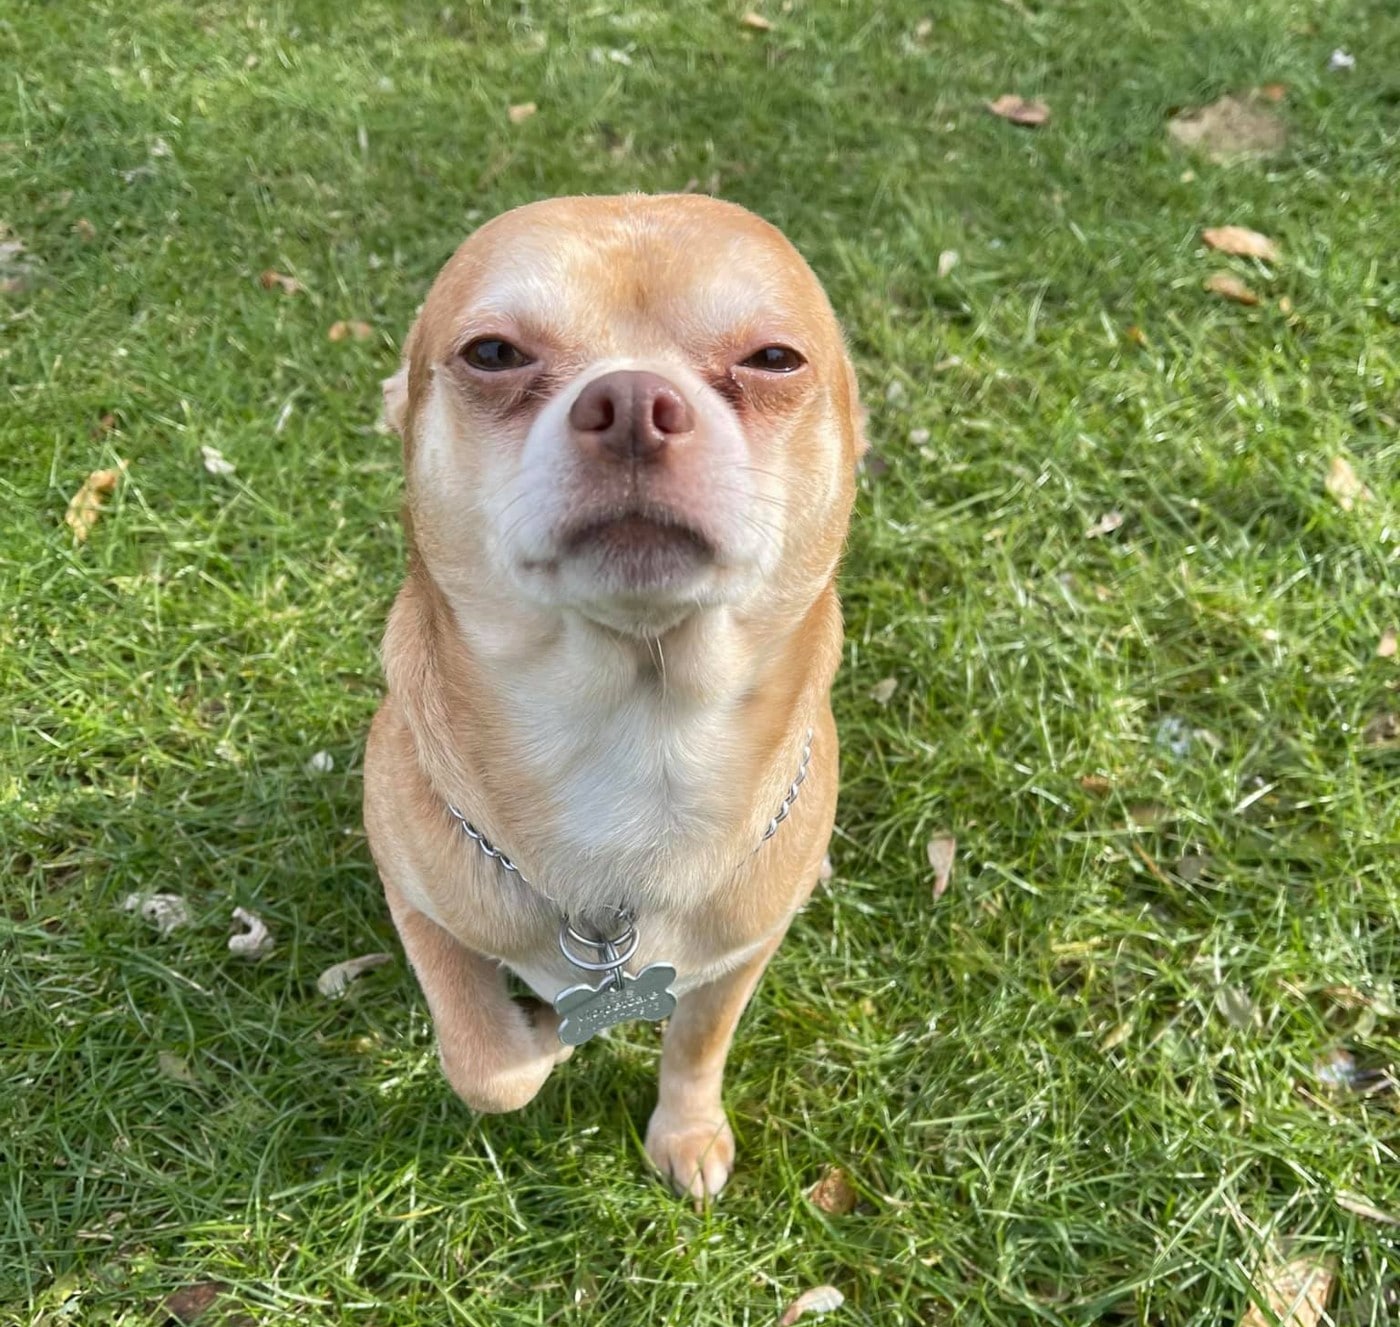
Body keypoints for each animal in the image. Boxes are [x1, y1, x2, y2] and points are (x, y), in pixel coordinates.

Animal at [366, 197, 856, 1203]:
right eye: (492, 353)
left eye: (774, 359)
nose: (633, 402)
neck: (635, 734)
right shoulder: (412, 894)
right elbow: (486, 1066)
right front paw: (542, 1040)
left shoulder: (737, 959)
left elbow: (698, 1044)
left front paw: (687, 1128)